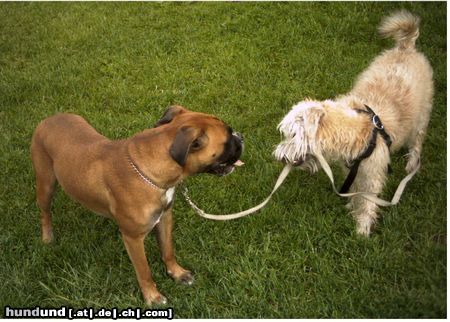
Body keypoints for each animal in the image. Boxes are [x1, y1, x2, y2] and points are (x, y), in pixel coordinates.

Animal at [30, 106, 243, 306]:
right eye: (228, 140)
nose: (240, 136)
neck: (151, 170)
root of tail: (49, 119)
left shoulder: (164, 218)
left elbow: (168, 251)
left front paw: (177, 273)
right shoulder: (133, 238)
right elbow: (144, 271)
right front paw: (152, 296)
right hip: (46, 184)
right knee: (45, 212)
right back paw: (47, 237)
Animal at [272, 10, 434, 236]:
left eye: (294, 135)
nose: (279, 157)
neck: (359, 130)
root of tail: (406, 46)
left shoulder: (372, 175)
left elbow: (367, 201)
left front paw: (362, 229)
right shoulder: (353, 170)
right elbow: (356, 191)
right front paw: (351, 206)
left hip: (422, 115)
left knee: (417, 140)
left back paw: (411, 164)